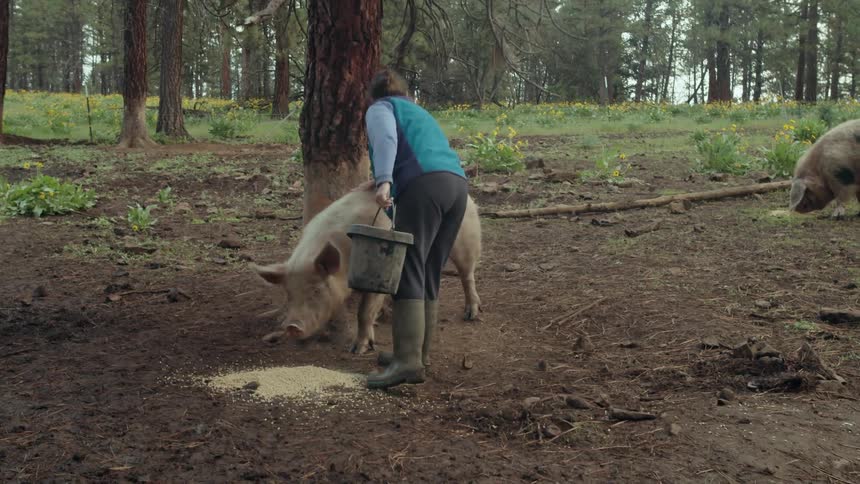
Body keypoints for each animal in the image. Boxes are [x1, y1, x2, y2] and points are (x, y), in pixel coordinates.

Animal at [250, 187, 482, 354]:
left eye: (316, 290)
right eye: (289, 294)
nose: (292, 326)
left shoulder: (377, 276)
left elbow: (364, 311)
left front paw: (358, 349)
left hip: (465, 237)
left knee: (467, 273)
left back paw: (471, 314)